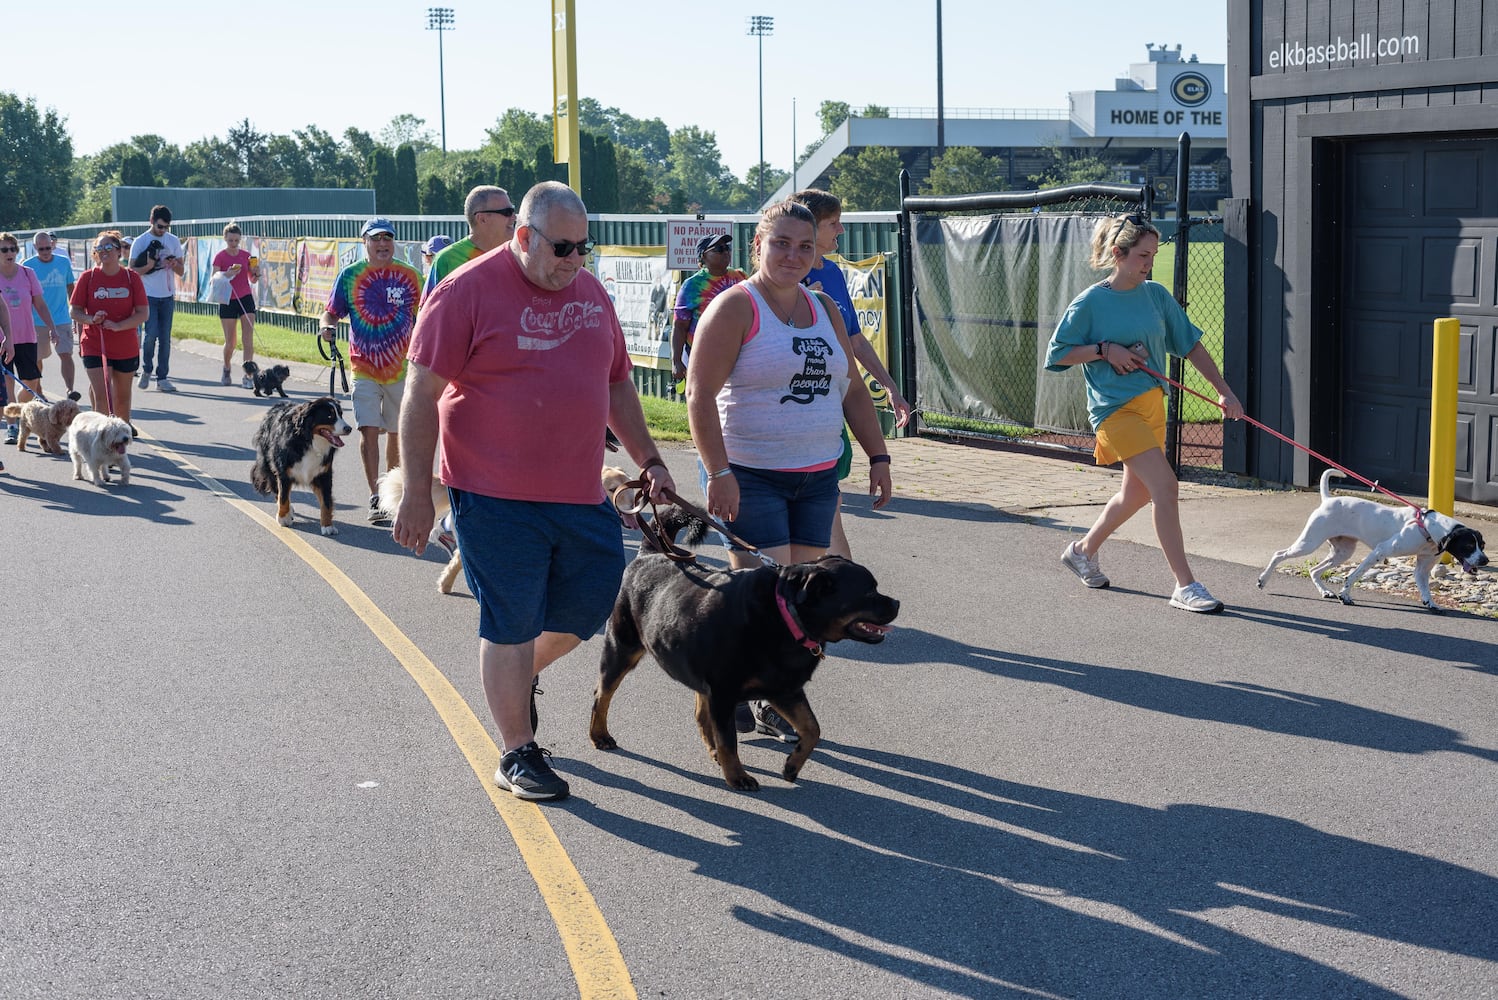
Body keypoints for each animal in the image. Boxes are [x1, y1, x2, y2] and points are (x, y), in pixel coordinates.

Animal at [254, 398, 356, 538]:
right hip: (269, 466)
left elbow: (326, 502)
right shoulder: (283, 472)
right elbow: (283, 497)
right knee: (277, 491)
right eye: (329, 416)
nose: (349, 428)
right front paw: (283, 518)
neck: (308, 441)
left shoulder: (323, 474)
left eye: (341, 414)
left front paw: (327, 526)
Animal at [587, 547, 892, 790]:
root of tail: (646, 554)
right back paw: (599, 735)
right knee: (602, 696)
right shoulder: (724, 692)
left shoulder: (785, 689)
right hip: (621, 648)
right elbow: (729, 740)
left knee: (700, 714)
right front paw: (737, 776)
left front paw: (792, 766)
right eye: (869, 591)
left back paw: (713, 752)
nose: (896, 603)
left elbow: (812, 728)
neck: (786, 618)